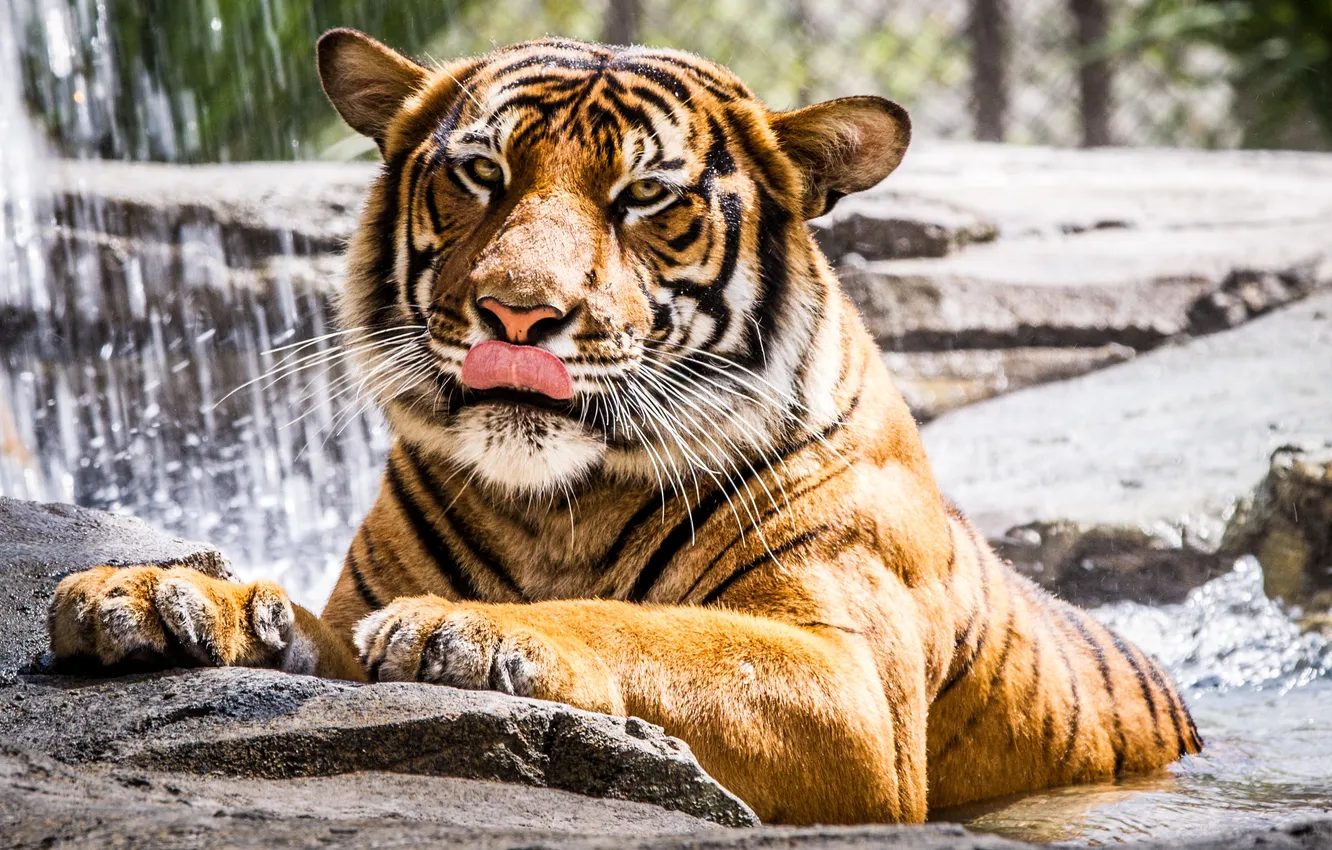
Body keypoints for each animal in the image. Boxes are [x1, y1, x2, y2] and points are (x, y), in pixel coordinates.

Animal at [46, 29, 1201, 825]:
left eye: (645, 196)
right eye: (480, 173)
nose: (517, 314)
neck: (555, 504)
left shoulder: (854, 692)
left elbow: (651, 629)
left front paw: (473, 629)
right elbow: (304, 627)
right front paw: (156, 594)